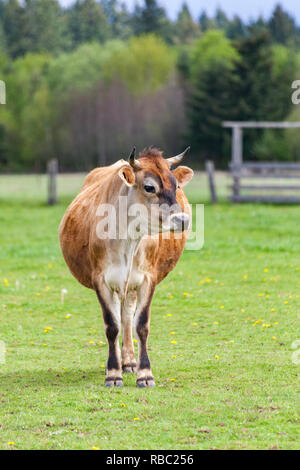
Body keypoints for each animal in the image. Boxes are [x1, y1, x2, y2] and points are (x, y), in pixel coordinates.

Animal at [59, 146, 193, 386]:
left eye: (176, 185)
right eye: (149, 187)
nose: (182, 219)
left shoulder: (148, 279)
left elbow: (141, 324)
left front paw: (145, 373)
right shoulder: (101, 280)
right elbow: (112, 325)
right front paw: (113, 373)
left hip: (131, 284)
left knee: (128, 316)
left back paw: (129, 361)